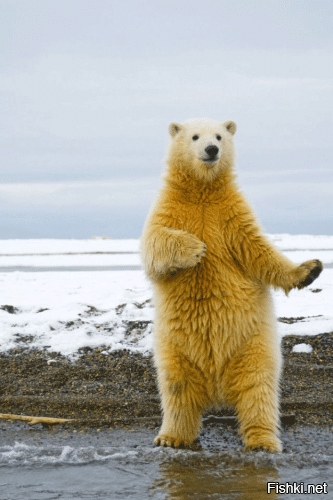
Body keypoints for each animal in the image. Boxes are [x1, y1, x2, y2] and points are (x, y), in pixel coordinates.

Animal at [139, 118, 322, 454]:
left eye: (220, 135)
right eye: (195, 136)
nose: (212, 149)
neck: (202, 191)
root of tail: (217, 387)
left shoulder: (231, 216)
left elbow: (259, 251)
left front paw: (310, 269)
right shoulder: (170, 208)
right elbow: (155, 243)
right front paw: (196, 248)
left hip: (251, 344)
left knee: (257, 388)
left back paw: (262, 441)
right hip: (175, 347)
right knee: (176, 387)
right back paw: (172, 436)